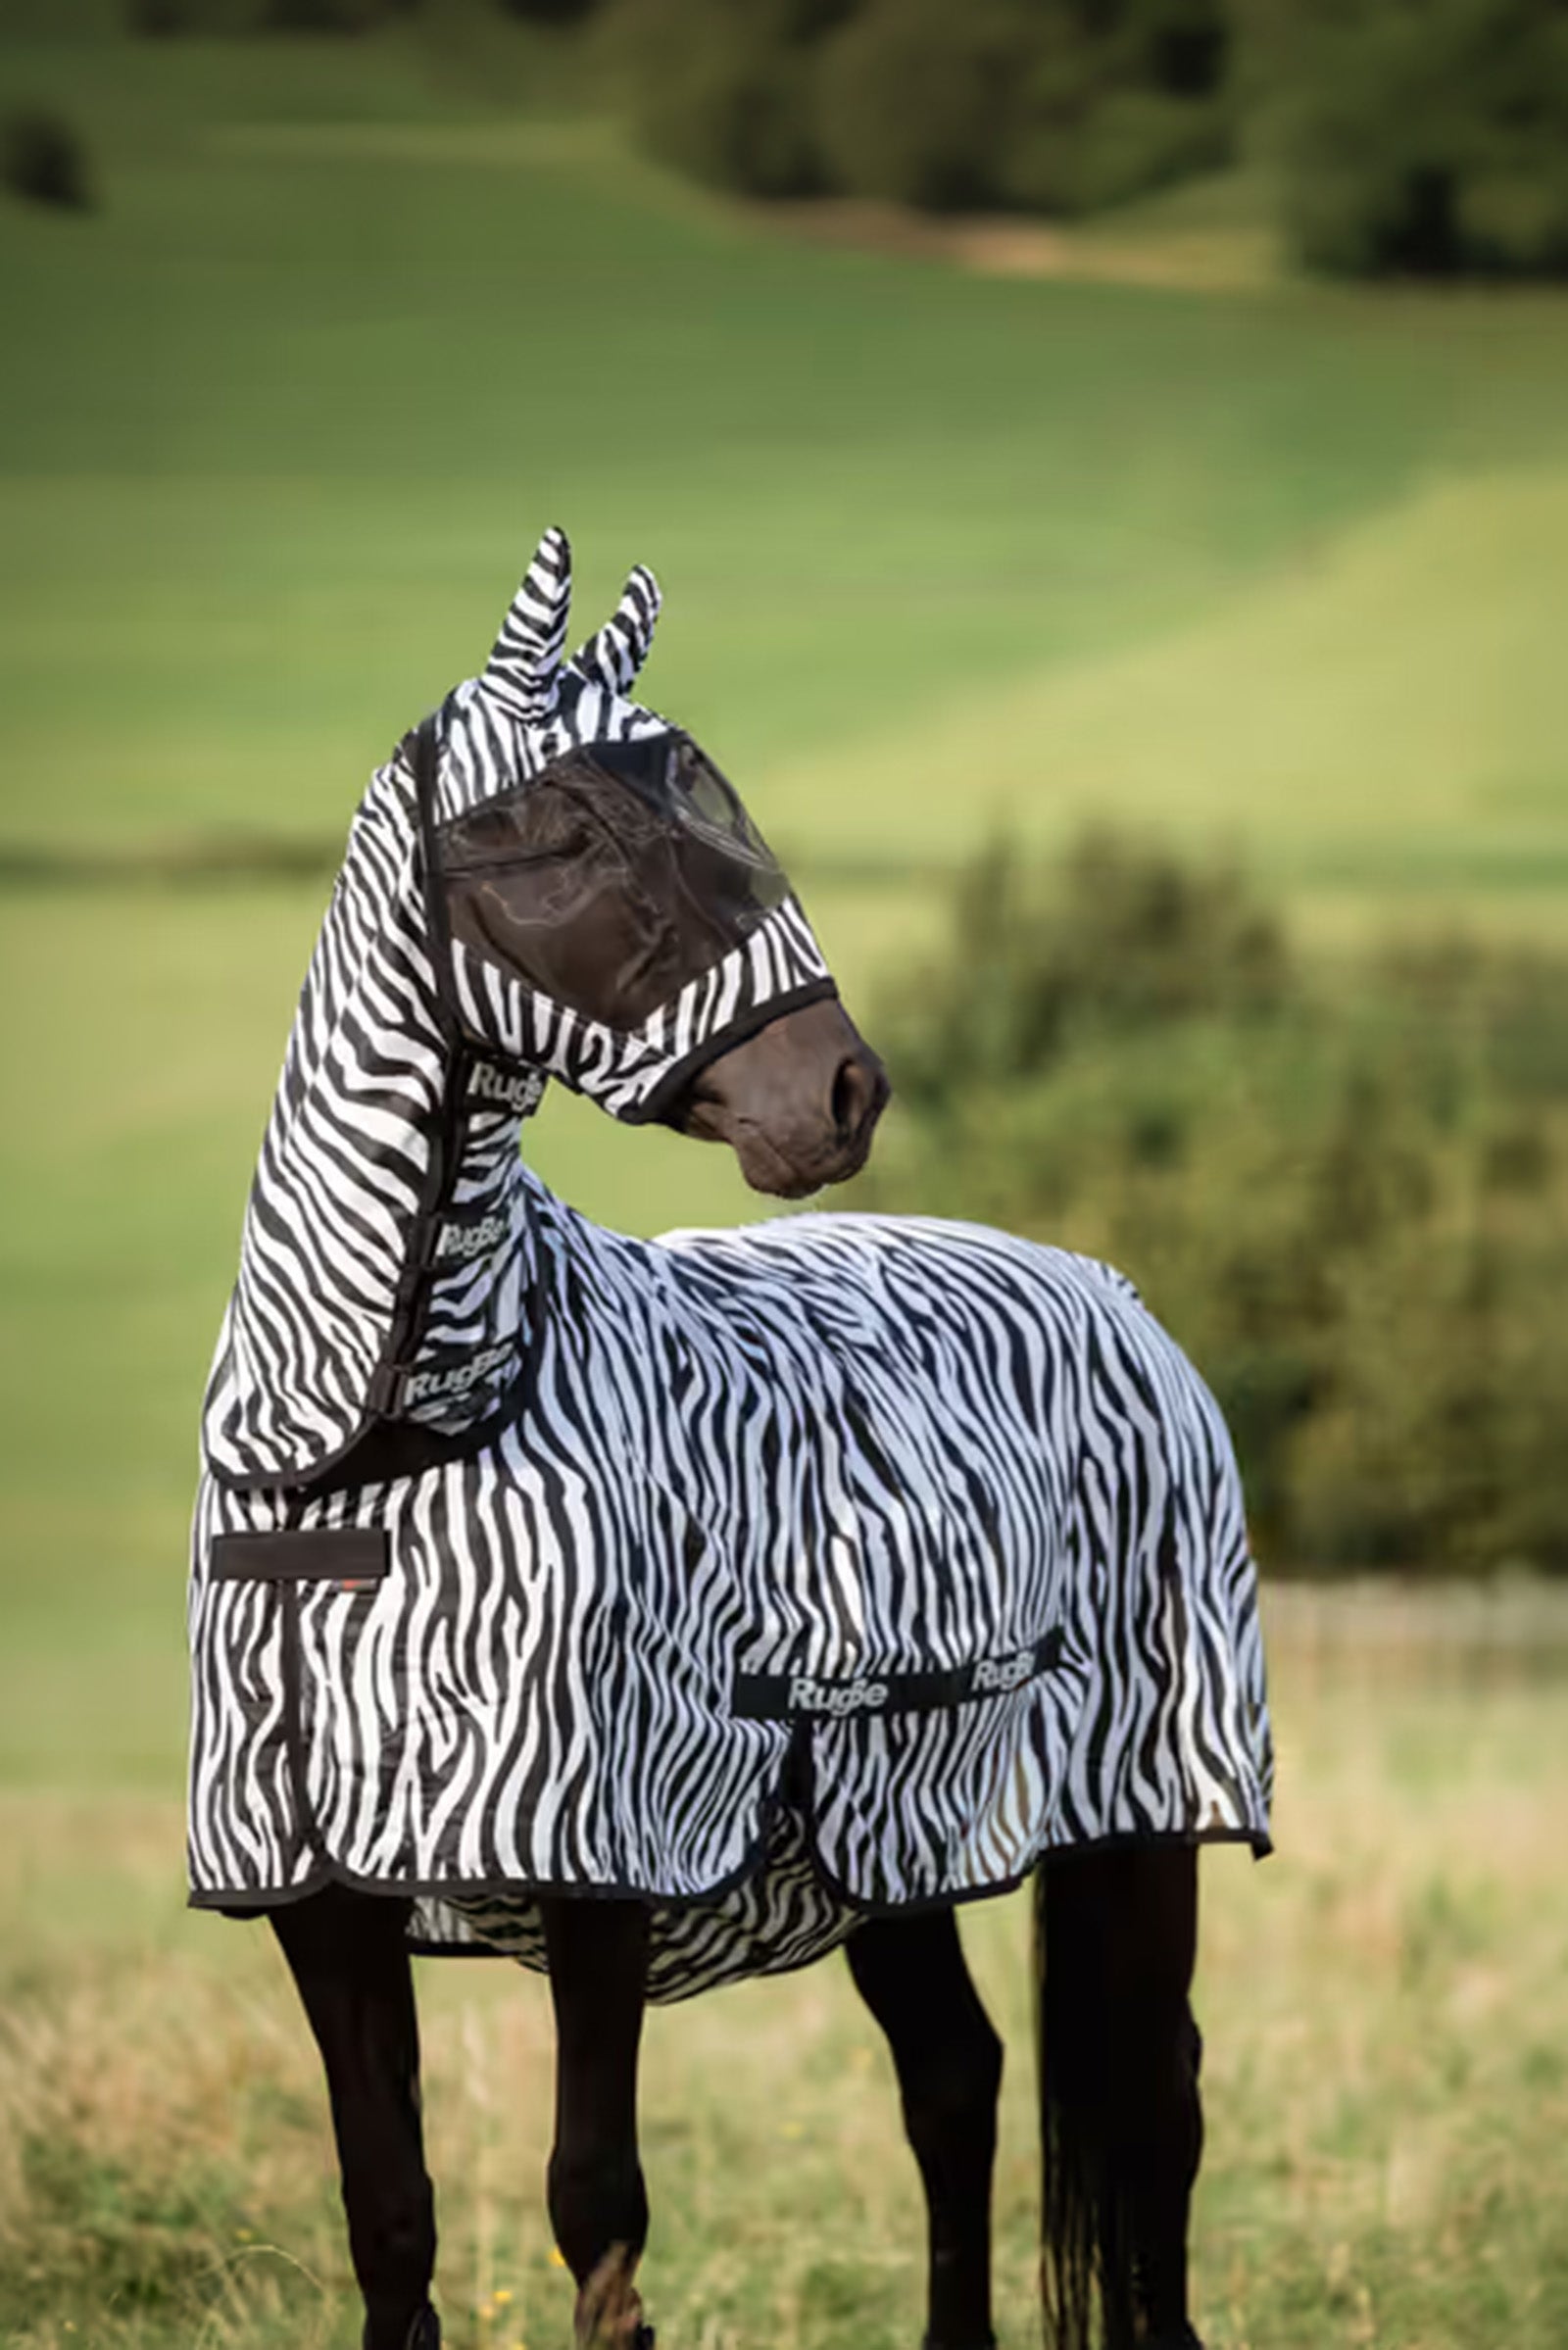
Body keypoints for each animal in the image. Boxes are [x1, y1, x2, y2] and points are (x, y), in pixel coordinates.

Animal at [190, 527, 1273, 2350]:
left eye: (715, 795)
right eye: (566, 827)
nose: (842, 1093)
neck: (377, 1448)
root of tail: (1112, 1289)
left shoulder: (602, 1864)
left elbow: (594, 2205)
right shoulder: (319, 1895)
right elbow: (392, 2218)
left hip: (1143, 1811)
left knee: (1155, 2114)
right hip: (899, 1840)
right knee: (958, 2079)